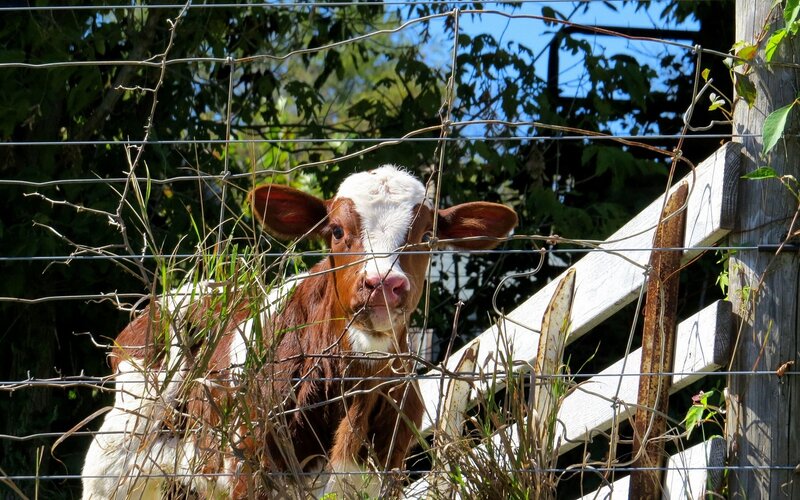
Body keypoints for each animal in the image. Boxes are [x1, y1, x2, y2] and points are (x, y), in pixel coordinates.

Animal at [81, 165, 518, 499]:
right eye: (337, 231)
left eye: (427, 236)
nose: (382, 284)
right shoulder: (250, 468)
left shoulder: (385, 472)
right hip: (117, 462)